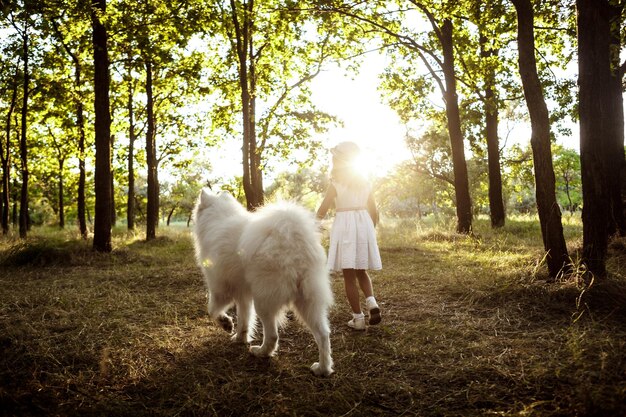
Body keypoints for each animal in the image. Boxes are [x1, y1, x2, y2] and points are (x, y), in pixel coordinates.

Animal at [191, 190, 334, 376]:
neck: (219, 217)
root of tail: (294, 239)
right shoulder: (243, 295)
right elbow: (244, 320)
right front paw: (240, 338)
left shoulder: (219, 288)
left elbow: (212, 310)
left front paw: (226, 323)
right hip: (308, 301)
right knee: (323, 335)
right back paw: (323, 368)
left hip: (265, 301)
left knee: (273, 335)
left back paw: (260, 352)